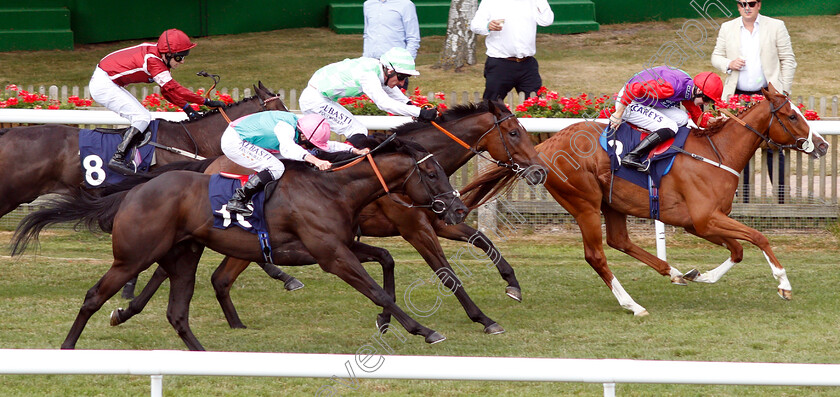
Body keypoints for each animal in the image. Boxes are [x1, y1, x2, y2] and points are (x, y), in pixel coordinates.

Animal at [115, 100, 548, 334]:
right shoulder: (414, 226)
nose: (539, 170)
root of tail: (209, 164)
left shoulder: (438, 218)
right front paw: (483, 318)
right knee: (182, 269)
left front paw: (511, 284)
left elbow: (481, 240)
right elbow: (446, 273)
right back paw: (128, 302)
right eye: (514, 133)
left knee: (207, 275)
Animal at [462, 84, 832, 316]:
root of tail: (543, 147)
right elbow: (758, 237)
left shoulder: (700, 222)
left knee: (620, 241)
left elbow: (739, 250)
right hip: (584, 203)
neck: (717, 154)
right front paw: (784, 283)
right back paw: (633, 304)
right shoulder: (704, 219)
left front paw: (700, 276)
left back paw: (675, 272)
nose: (824, 145)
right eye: (793, 116)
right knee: (596, 255)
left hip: (612, 203)